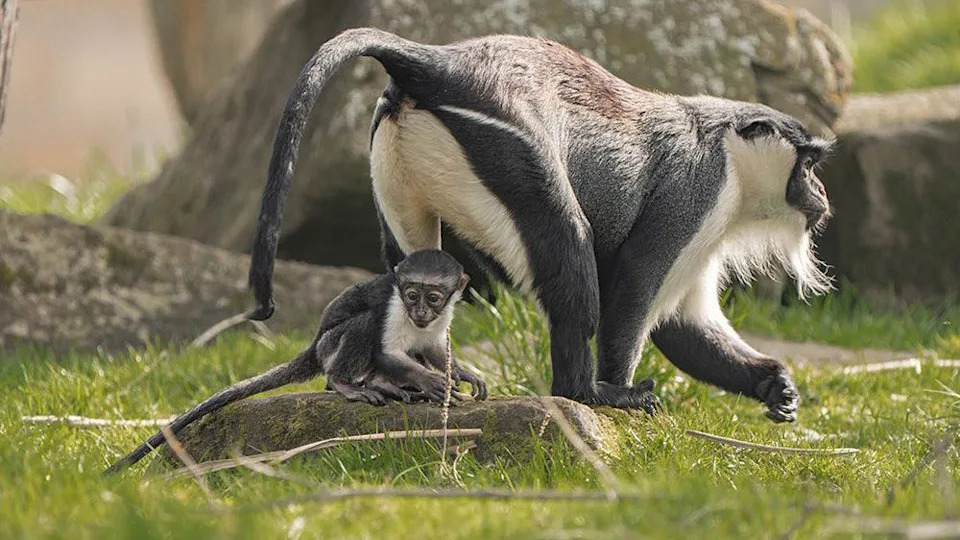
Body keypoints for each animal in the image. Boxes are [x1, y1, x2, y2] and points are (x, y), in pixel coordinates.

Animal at [104, 249, 486, 474]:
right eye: (411, 294)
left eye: (432, 298)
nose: (419, 311)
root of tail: (315, 345)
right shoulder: (392, 307)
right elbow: (385, 351)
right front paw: (432, 383)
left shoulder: (437, 322)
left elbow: (434, 348)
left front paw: (461, 375)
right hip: (331, 346)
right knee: (360, 328)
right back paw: (350, 384)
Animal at [247, 28, 834, 423]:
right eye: (808, 164)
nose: (822, 194)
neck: (730, 149)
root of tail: (436, 63)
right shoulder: (696, 193)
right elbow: (633, 292)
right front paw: (619, 390)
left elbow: (683, 323)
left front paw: (774, 384)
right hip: (511, 151)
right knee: (569, 248)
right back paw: (586, 393)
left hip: (396, 165)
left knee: (408, 267)